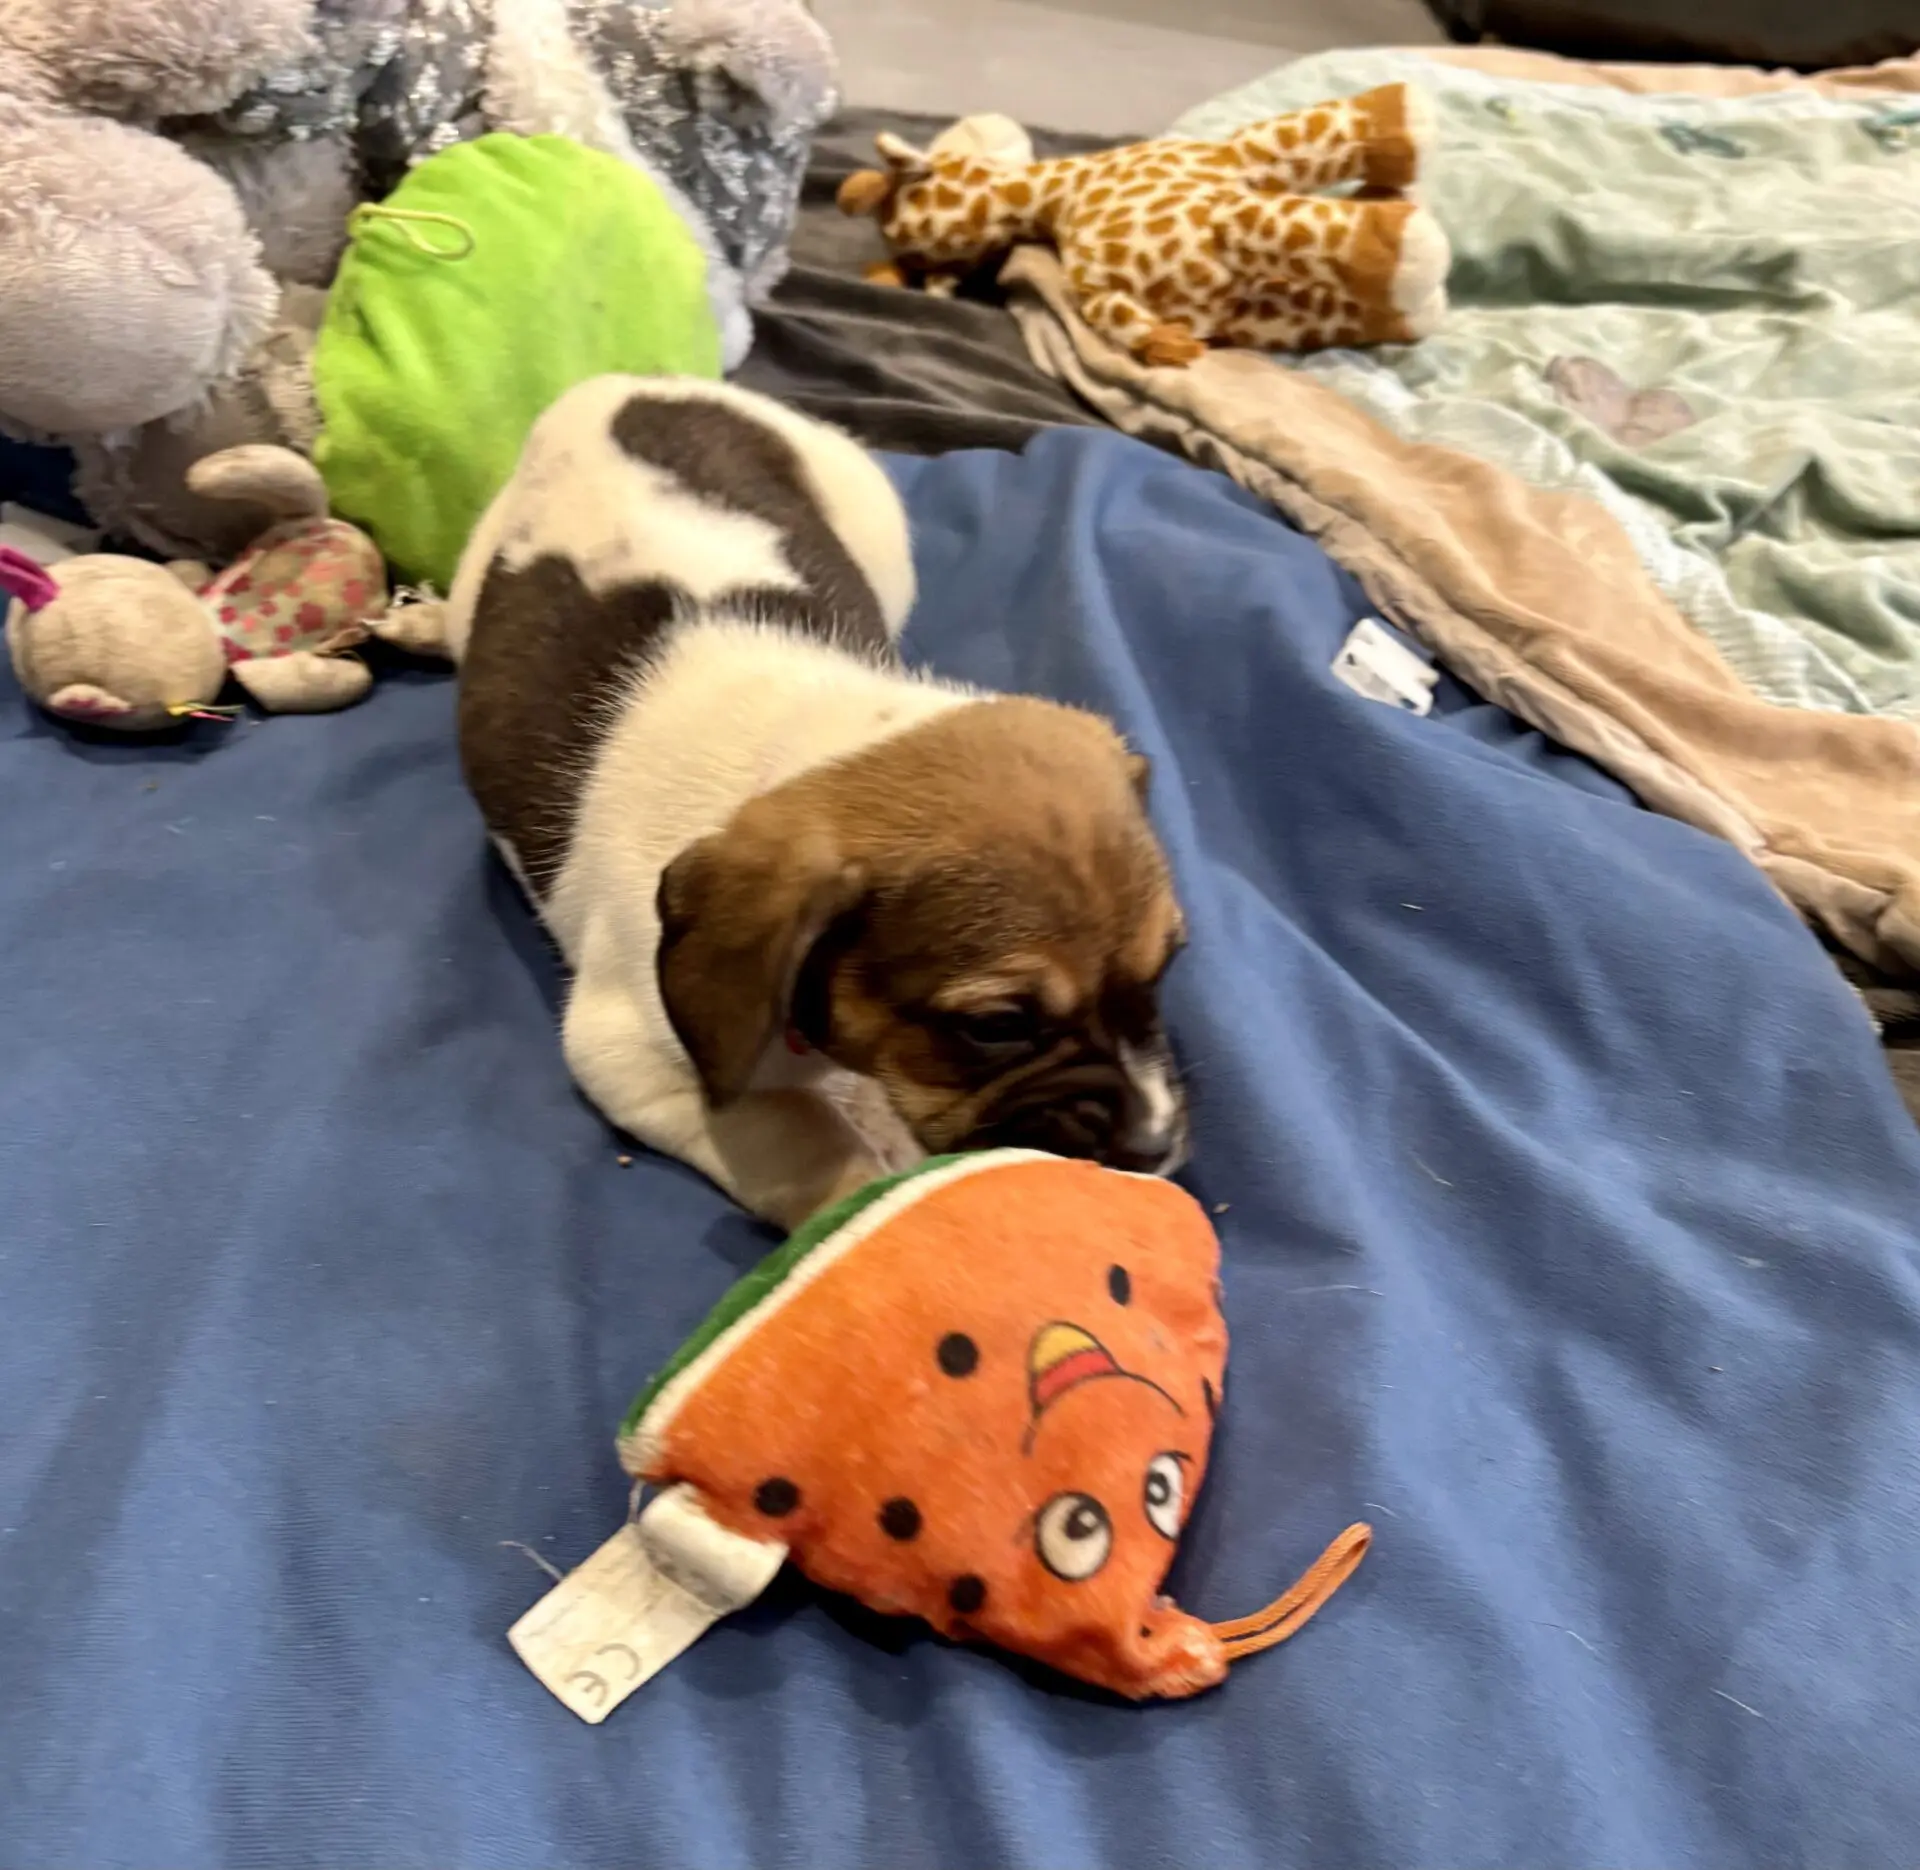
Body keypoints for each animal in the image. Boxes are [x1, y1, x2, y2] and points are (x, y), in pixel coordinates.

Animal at [446, 374, 1189, 1229]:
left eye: (1169, 965)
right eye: (997, 1026)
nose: (1157, 1150)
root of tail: (632, 384)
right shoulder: (631, 1054)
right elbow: (795, 1139)